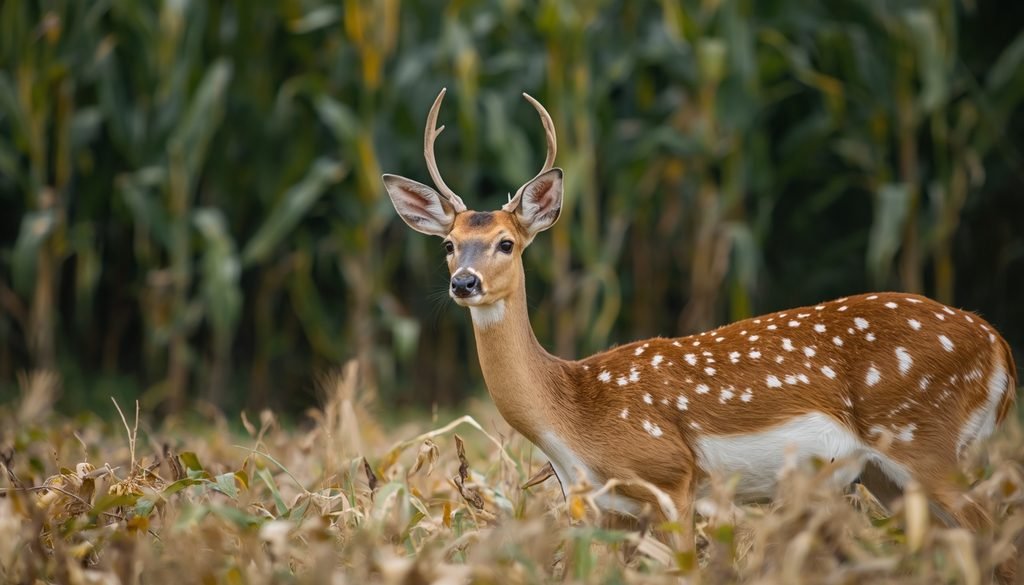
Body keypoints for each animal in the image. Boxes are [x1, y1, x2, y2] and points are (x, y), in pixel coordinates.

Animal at [382, 88, 1019, 575]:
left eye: (506, 243)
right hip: (889, 473)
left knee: (994, 538)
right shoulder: (598, 506)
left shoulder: (671, 475)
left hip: (924, 438)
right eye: (448, 244)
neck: (573, 415)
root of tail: (998, 345)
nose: (464, 282)